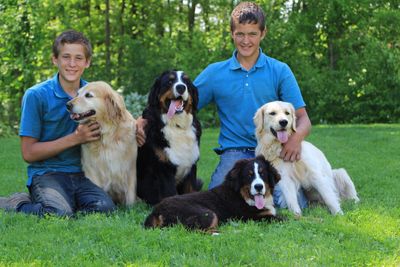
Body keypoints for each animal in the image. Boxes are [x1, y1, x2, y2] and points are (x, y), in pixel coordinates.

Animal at [137, 70, 202, 205]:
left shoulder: (192, 166)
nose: (181, 87)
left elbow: (191, 190)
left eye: (186, 82)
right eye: (170, 81)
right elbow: (170, 194)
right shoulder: (163, 168)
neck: (177, 126)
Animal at [144, 156, 282, 233]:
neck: (242, 196)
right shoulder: (256, 217)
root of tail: (156, 210)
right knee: (196, 231)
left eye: (263, 174)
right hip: (207, 213)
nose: (259, 187)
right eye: (249, 175)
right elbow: (283, 218)